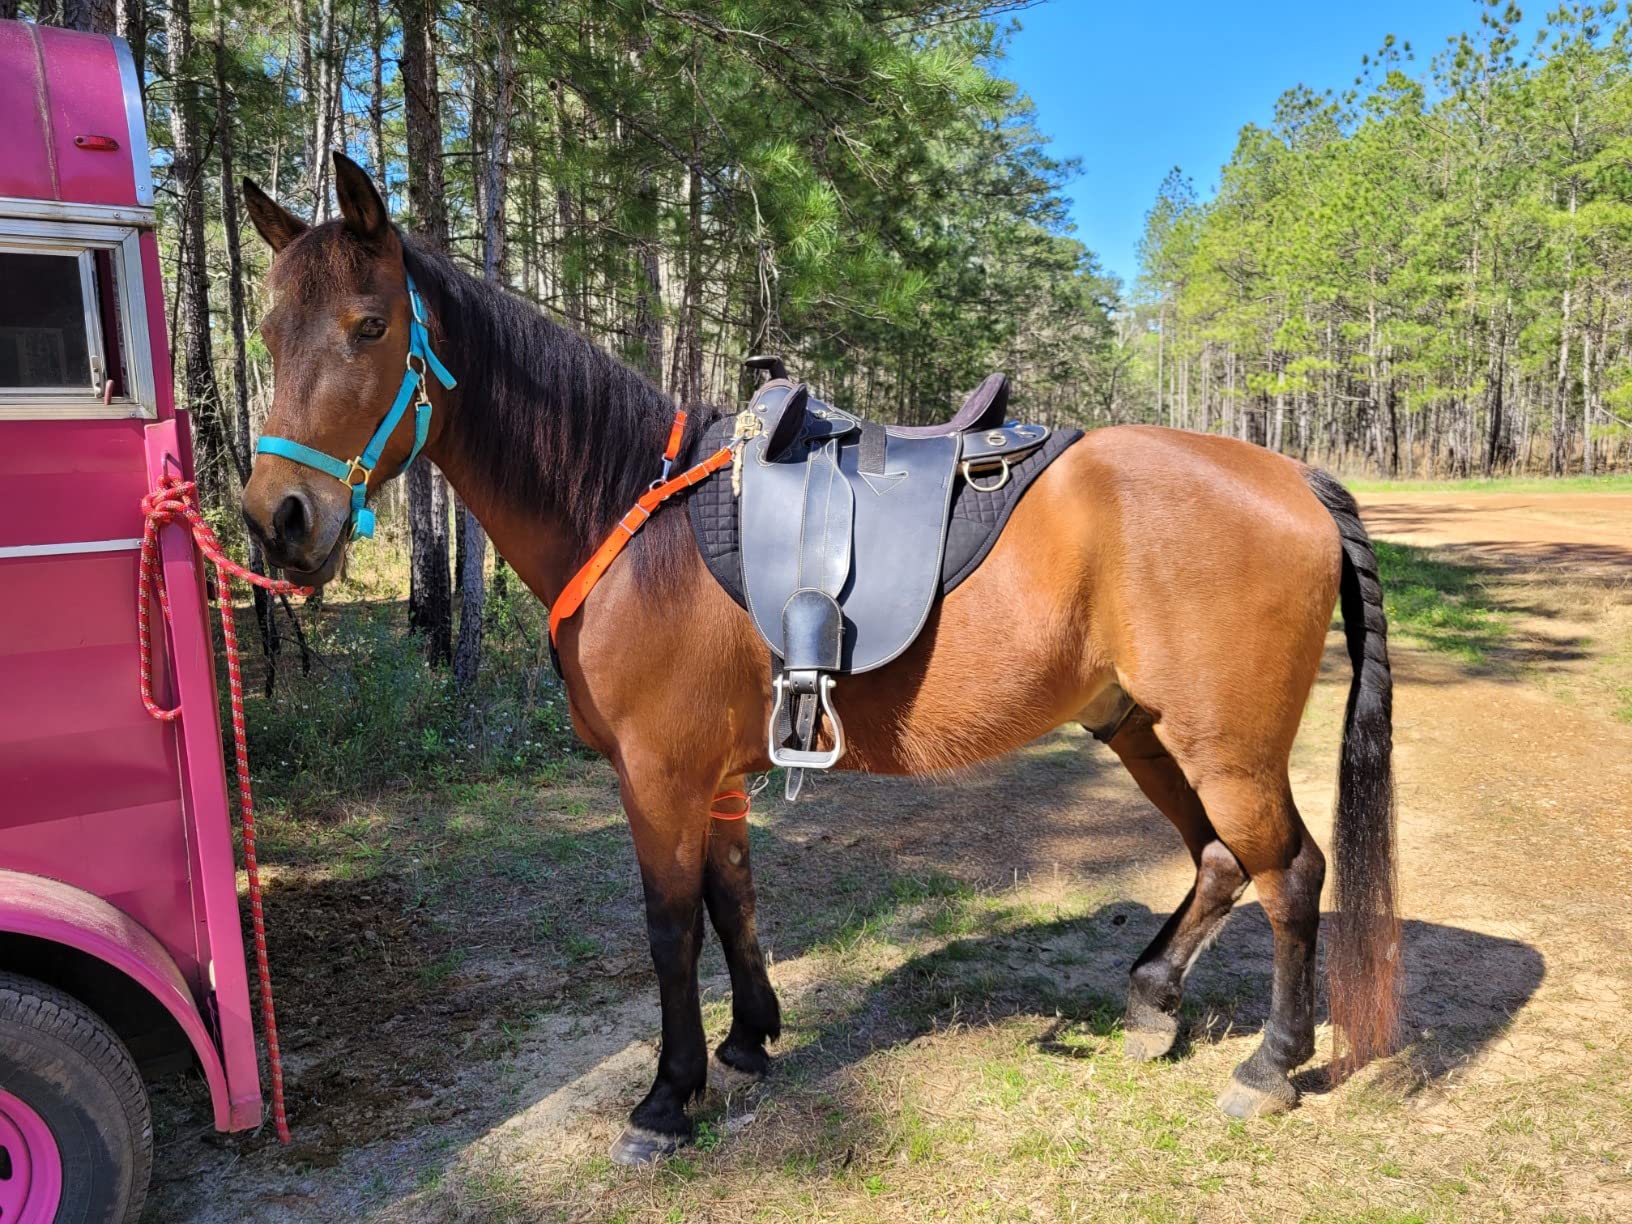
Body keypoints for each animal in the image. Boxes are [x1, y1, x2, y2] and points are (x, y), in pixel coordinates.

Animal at [239, 153, 1400, 1164]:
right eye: (265, 329)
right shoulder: (711, 778)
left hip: (1226, 747)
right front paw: (747, 1040)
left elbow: (670, 929)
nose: (277, 518)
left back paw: (1271, 1065)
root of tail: (1294, 478)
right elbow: (734, 901)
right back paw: (1154, 1000)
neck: (630, 514)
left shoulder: (658, 775)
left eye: (370, 325)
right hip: (1141, 728)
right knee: (1219, 862)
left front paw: (666, 1099)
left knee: (1289, 873)